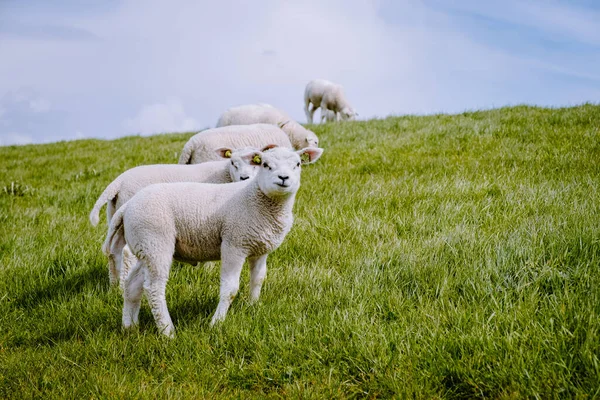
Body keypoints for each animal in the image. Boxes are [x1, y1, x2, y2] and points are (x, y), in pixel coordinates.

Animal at [89, 147, 264, 288]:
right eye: (233, 163)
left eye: (257, 163)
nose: (245, 178)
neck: (225, 174)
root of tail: (118, 182)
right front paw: (208, 271)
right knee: (125, 253)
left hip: (116, 217)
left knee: (114, 252)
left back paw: (114, 286)